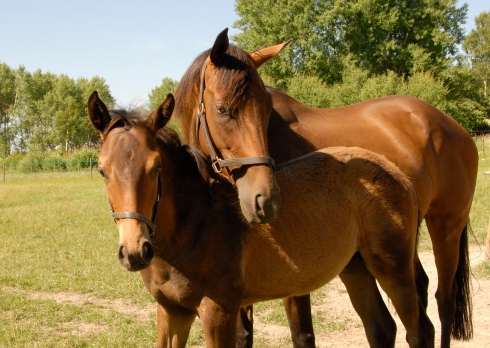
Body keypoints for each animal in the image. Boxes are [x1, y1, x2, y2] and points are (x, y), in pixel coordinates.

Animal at [88, 92, 432, 348]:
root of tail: (399, 175)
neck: (196, 224)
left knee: (419, 331)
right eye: (102, 170)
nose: (135, 251)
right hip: (356, 268)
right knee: (381, 328)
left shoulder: (218, 311)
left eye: (156, 167)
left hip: (393, 268)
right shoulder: (172, 312)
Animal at [175, 30, 478, 348]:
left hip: (445, 227)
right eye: (222, 109)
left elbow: (302, 335)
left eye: (267, 109)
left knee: (444, 301)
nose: (266, 200)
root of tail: (451, 125)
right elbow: (243, 336)